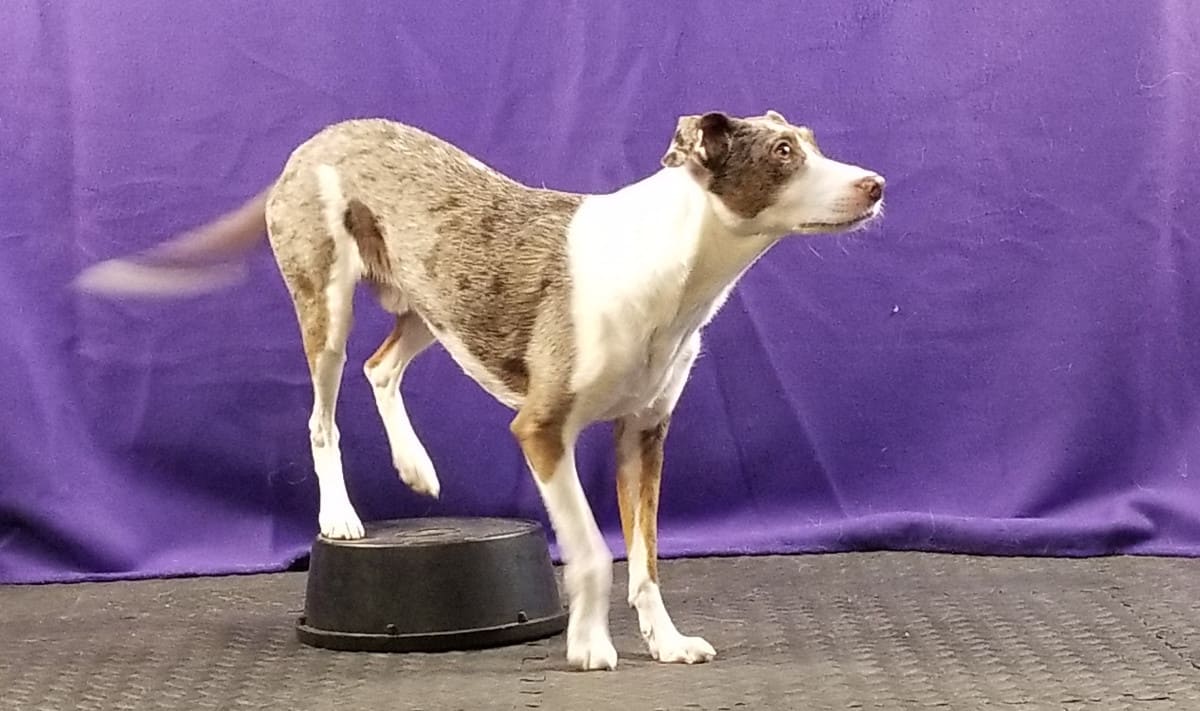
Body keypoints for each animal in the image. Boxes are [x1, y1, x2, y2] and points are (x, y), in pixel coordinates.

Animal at [75, 111, 883, 672]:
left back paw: (416, 466)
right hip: (325, 307)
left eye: (810, 140)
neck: (675, 269)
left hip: (431, 305)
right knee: (321, 415)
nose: (877, 185)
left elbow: (647, 560)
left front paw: (668, 642)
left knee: (381, 367)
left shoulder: (644, 435)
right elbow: (593, 553)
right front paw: (589, 646)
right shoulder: (542, 430)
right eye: (783, 155)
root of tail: (318, 140)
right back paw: (341, 516)